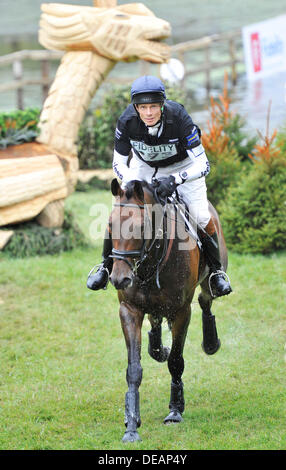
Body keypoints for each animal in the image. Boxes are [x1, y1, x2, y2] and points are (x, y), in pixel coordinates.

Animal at [108, 178, 227, 442]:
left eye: (141, 227)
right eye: (110, 225)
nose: (119, 279)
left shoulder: (182, 311)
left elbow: (175, 361)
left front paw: (175, 410)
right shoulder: (129, 310)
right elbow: (134, 369)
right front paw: (131, 424)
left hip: (208, 281)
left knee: (205, 300)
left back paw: (211, 343)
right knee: (156, 320)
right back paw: (157, 347)